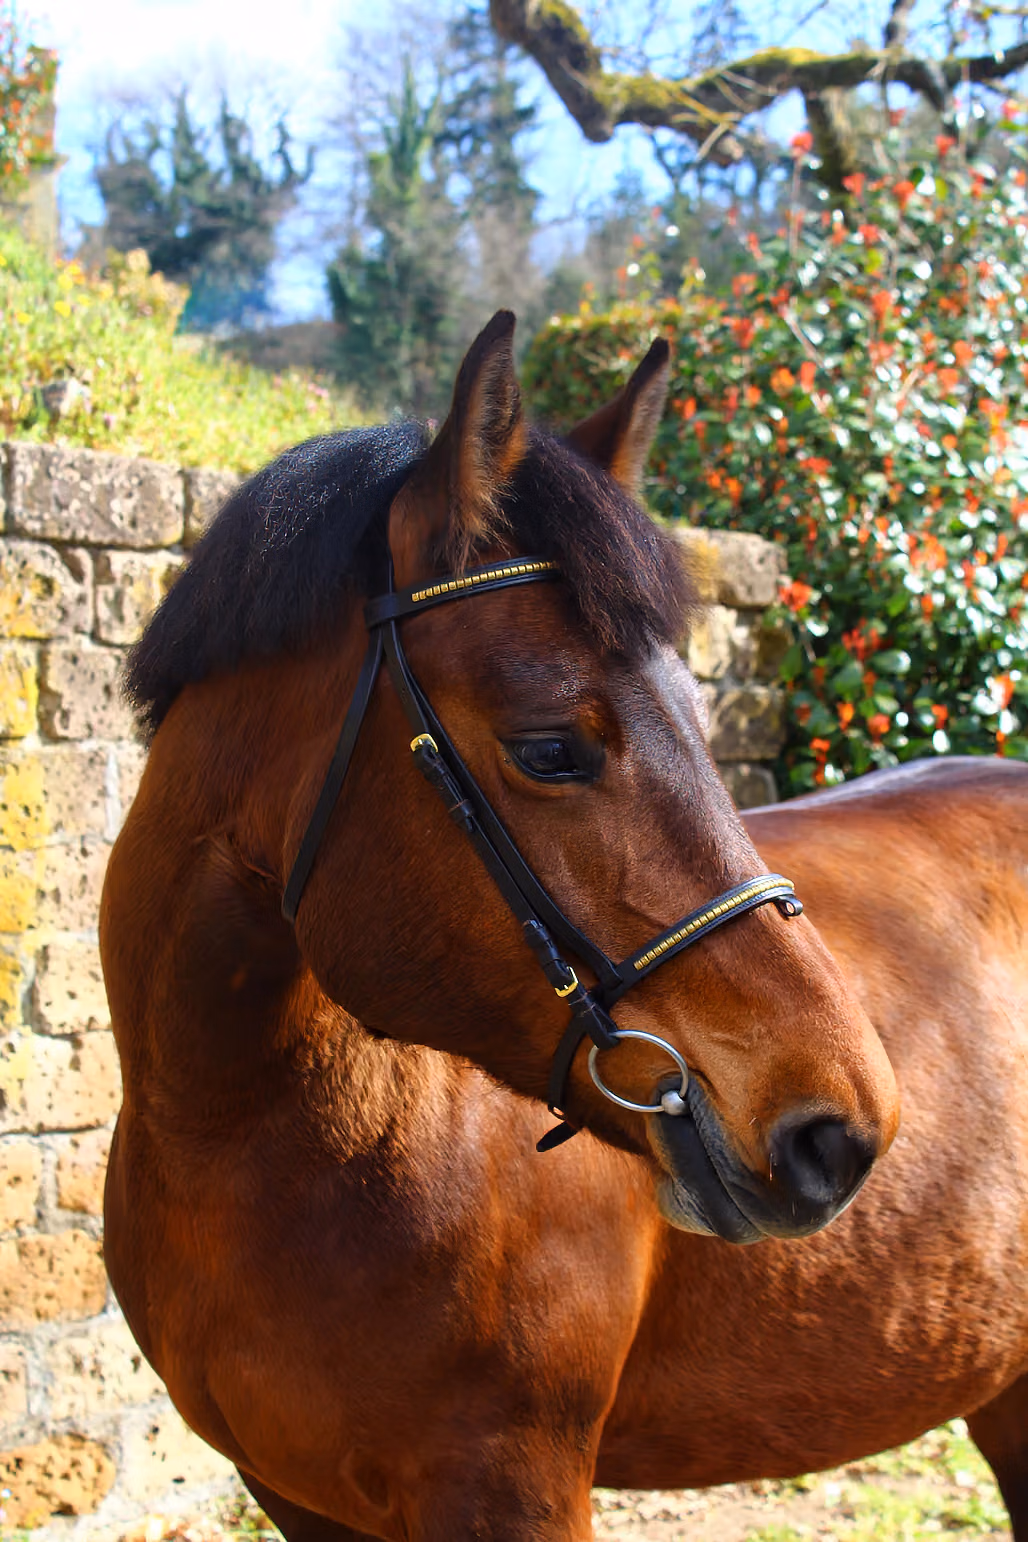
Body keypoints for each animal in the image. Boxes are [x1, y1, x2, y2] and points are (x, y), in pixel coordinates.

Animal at [100, 312, 1026, 1541]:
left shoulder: (512, 1487)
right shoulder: (295, 1497)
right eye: (549, 748)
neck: (237, 1139)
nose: (839, 1128)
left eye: (700, 719)